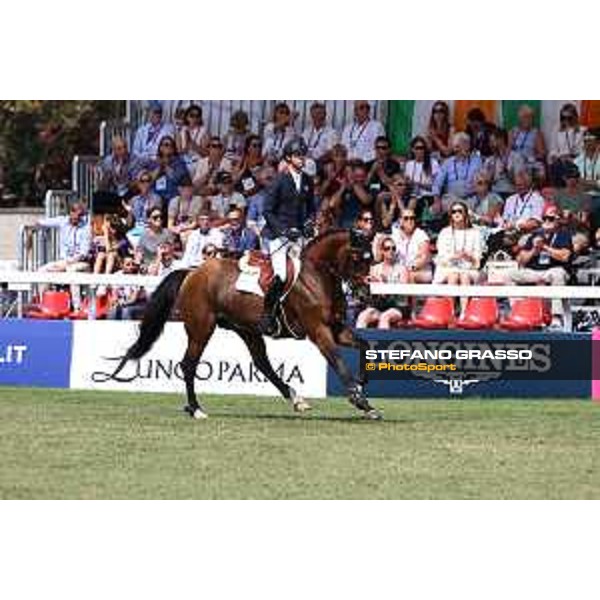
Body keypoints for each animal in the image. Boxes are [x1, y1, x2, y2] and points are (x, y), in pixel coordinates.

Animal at [109, 227, 380, 420]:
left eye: (371, 260)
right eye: (358, 258)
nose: (364, 295)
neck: (317, 276)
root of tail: (192, 272)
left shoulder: (336, 328)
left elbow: (366, 345)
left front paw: (363, 385)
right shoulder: (319, 331)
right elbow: (338, 362)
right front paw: (360, 401)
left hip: (246, 329)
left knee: (262, 364)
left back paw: (296, 399)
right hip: (201, 327)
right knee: (188, 365)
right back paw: (196, 409)